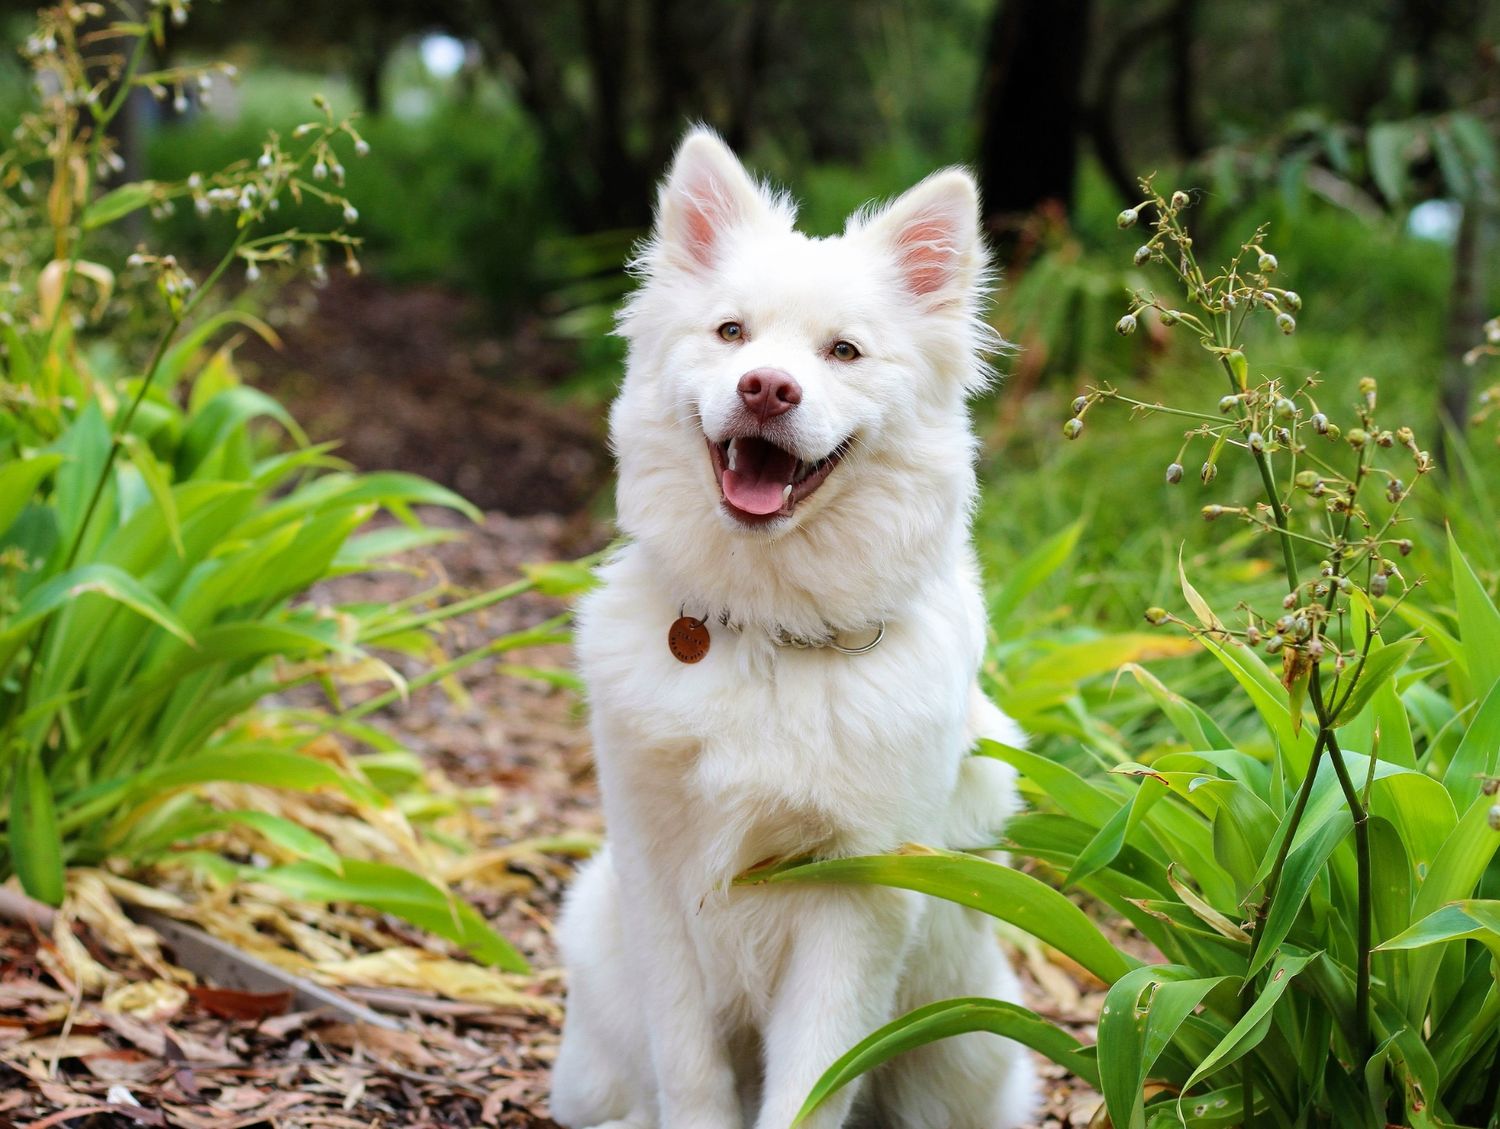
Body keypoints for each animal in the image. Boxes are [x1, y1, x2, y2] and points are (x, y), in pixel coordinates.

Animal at [549, 127, 1032, 1127]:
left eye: (843, 351)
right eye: (732, 332)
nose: (767, 388)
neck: (765, 630)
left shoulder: (856, 898)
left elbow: (811, 1079)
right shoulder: (657, 878)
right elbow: (691, 1069)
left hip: (966, 1050)